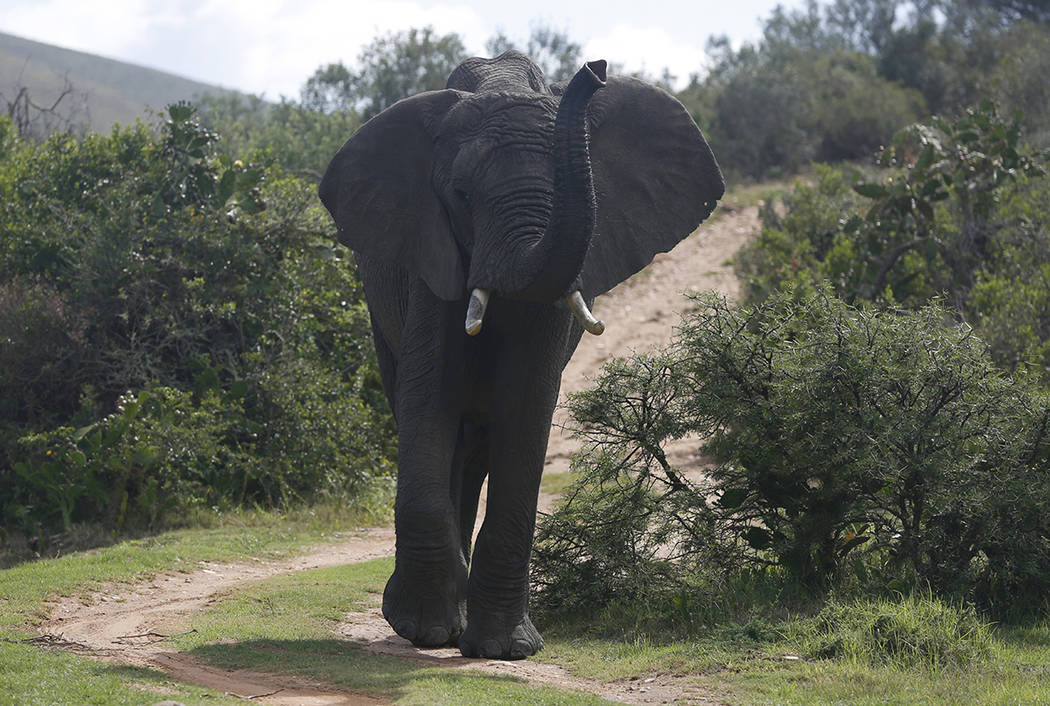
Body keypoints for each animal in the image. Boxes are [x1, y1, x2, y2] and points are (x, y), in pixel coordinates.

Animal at [317, 50, 722, 663]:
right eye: (461, 195)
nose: (596, 70)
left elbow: (526, 405)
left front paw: (505, 649)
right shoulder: (431, 257)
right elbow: (429, 398)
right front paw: (421, 630)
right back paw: (442, 626)